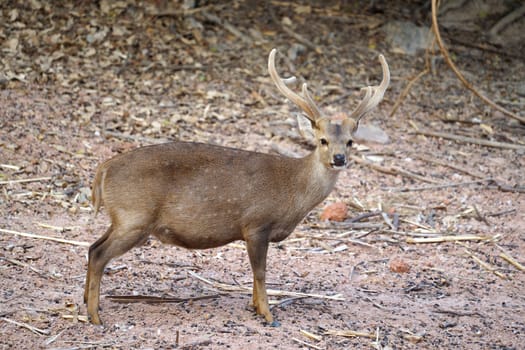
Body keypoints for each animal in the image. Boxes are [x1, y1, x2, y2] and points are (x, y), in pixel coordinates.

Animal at [85, 48, 388, 326]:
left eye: (350, 141)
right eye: (322, 140)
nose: (339, 158)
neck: (294, 190)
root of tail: (104, 168)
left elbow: (256, 274)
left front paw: (255, 307)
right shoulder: (256, 223)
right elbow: (260, 272)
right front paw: (268, 315)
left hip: (123, 219)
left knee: (91, 247)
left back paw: (86, 303)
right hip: (135, 216)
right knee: (99, 254)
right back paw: (95, 316)